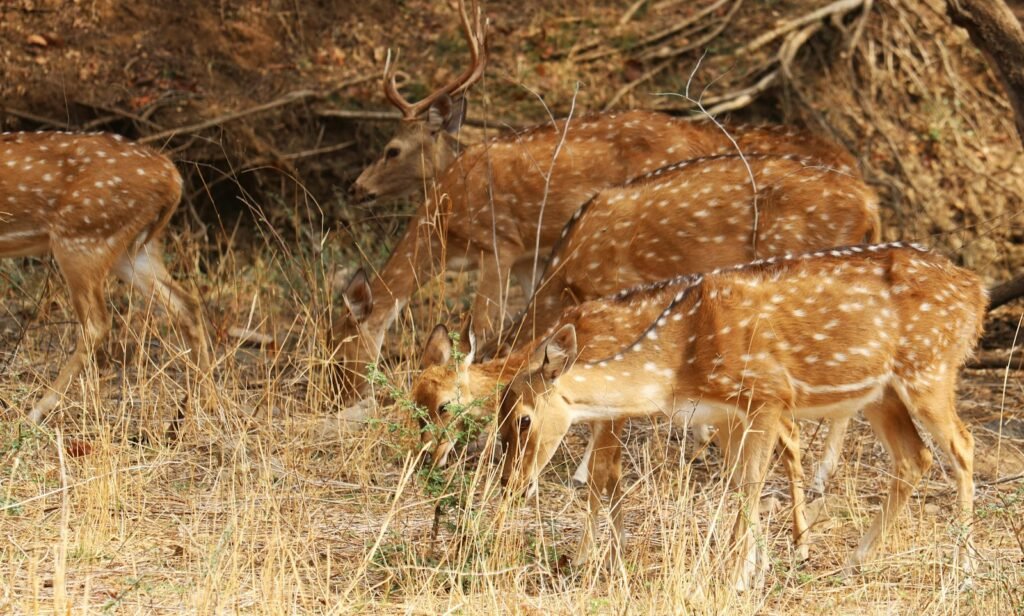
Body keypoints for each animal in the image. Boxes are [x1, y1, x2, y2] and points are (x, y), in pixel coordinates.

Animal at [0, 131, 211, 429]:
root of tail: (173, 178)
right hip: (133, 250)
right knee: (187, 303)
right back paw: (202, 407)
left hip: (83, 239)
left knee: (97, 323)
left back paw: (35, 412)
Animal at [338, 0, 863, 405]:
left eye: (392, 150)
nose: (355, 188)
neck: (446, 222)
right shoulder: (530, 256)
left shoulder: (500, 243)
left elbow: (483, 328)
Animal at [410, 153, 880, 556]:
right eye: (415, 407)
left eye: (445, 405)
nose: (427, 459)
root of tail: (870, 202)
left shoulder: (612, 405)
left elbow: (603, 475)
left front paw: (589, 550)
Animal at [498, 242, 986, 591]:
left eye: (523, 419)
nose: (510, 484)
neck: (680, 364)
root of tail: (976, 290)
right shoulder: (728, 414)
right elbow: (737, 486)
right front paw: (752, 571)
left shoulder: (767, 394)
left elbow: (750, 486)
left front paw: (734, 580)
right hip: (881, 393)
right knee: (914, 457)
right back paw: (853, 563)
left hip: (930, 367)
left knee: (962, 446)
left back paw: (962, 572)